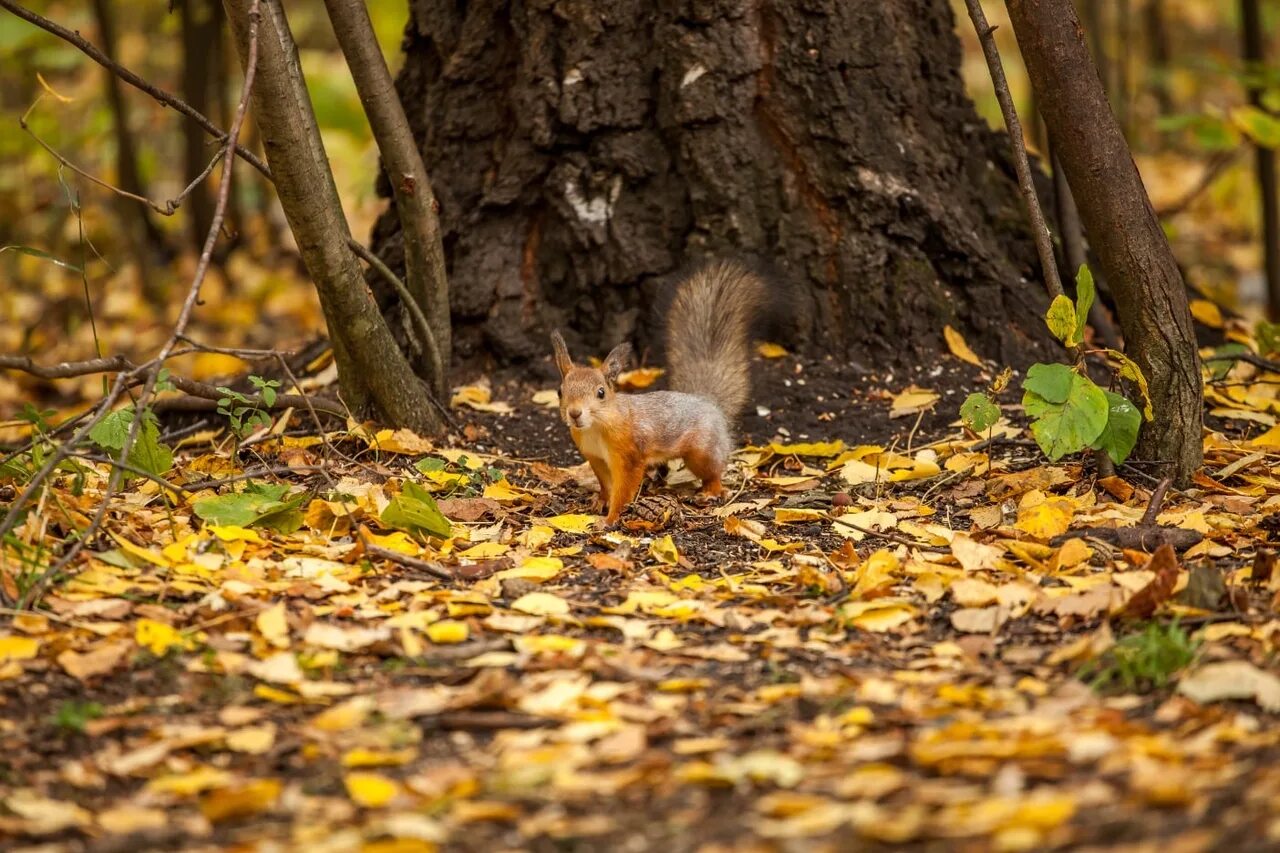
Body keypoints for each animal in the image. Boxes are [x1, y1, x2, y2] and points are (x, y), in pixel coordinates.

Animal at [547, 258, 757, 525]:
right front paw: (600, 501)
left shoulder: (629, 457)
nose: (574, 414)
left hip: (702, 450)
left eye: (601, 393)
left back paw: (711, 491)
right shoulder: (596, 458)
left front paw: (610, 518)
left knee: (713, 470)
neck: (597, 427)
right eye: (559, 391)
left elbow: (623, 489)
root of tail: (707, 401)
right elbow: (606, 484)